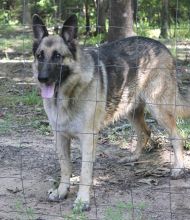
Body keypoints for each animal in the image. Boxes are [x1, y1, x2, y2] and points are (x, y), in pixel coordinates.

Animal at [32, 13, 190, 210]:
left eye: (57, 56)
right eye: (40, 56)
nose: (42, 78)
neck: (68, 94)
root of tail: (163, 47)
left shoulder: (88, 139)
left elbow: (84, 172)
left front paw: (82, 200)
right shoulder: (60, 137)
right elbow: (65, 167)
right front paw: (62, 191)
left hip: (158, 108)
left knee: (177, 135)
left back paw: (178, 168)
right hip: (131, 109)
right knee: (145, 132)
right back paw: (134, 157)